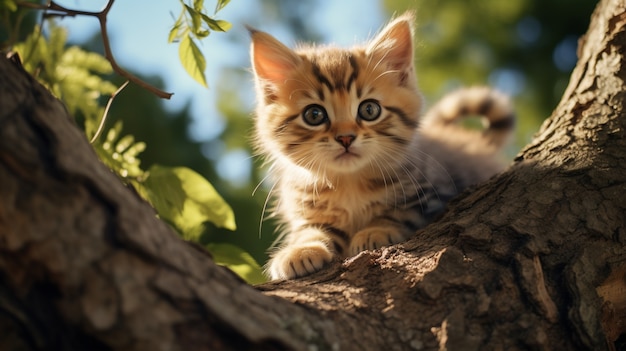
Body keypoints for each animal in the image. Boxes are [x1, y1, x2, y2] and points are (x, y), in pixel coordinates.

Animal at [247, 11, 512, 280]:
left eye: (369, 110)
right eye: (314, 115)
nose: (345, 138)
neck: (350, 183)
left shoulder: (434, 194)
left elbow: (401, 212)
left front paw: (375, 231)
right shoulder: (306, 208)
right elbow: (309, 230)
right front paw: (301, 249)